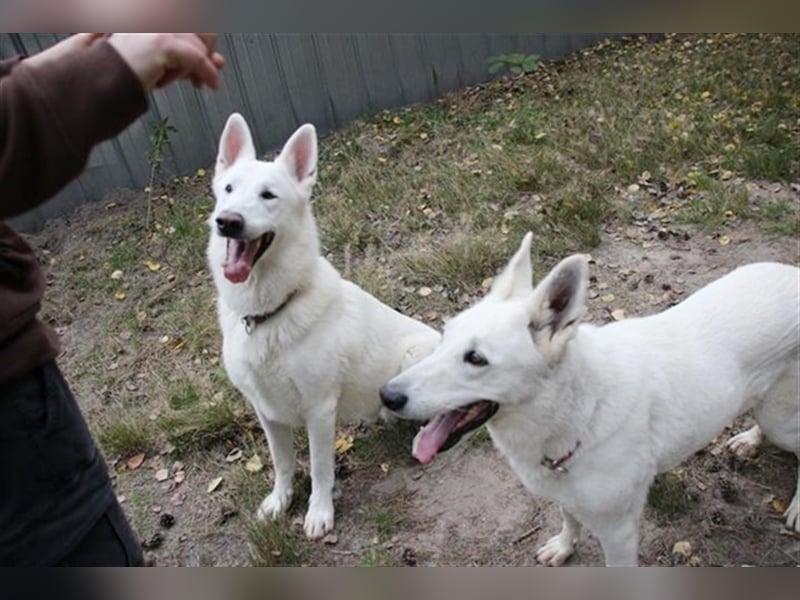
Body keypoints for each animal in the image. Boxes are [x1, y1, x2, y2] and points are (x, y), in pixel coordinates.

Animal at [208, 113, 438, 540]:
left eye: (268, 195)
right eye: (228, 189)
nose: (227, 222)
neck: (270, 313)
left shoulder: (319, 411)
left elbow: (319, 470)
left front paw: (319, 512)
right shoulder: (266, 411)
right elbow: (282, 464)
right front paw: (280, 502)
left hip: (414, 356)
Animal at [382, 232, 800, 564]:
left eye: (476, 359)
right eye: (444, 337)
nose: (387, 395)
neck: (581, 413)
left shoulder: (619, 533)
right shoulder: (565, 493)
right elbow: (569, 519)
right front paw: (565, 546)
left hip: (781, 417)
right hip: (770, 406)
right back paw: (750, 440)